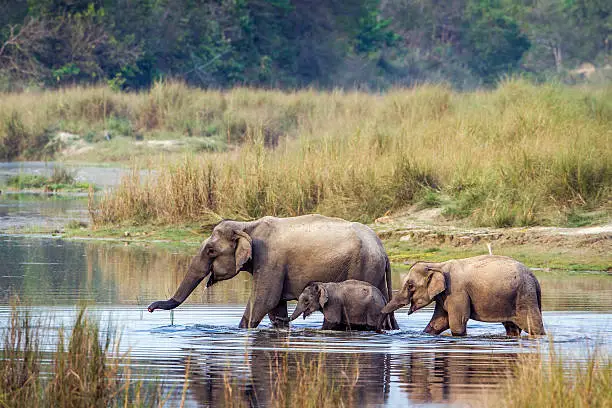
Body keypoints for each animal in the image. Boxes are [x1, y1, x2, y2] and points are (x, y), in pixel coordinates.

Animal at [146, 215, 400, 330]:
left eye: (210, 251)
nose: (149, 308)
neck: (247, 226)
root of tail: (383, 251)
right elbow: (275, 305)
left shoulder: (270, 261)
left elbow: (263, 301)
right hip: (376, 274)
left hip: (364, 267)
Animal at [380, 255, 548, 338]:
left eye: (410, 286)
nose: (384, 330)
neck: (437, 264)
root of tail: (534, 278)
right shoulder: (444, 295)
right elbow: (439, 322)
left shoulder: (456, 292)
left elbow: (457, 322)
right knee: (512, 328)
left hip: (525, 296)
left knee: (534, 326)